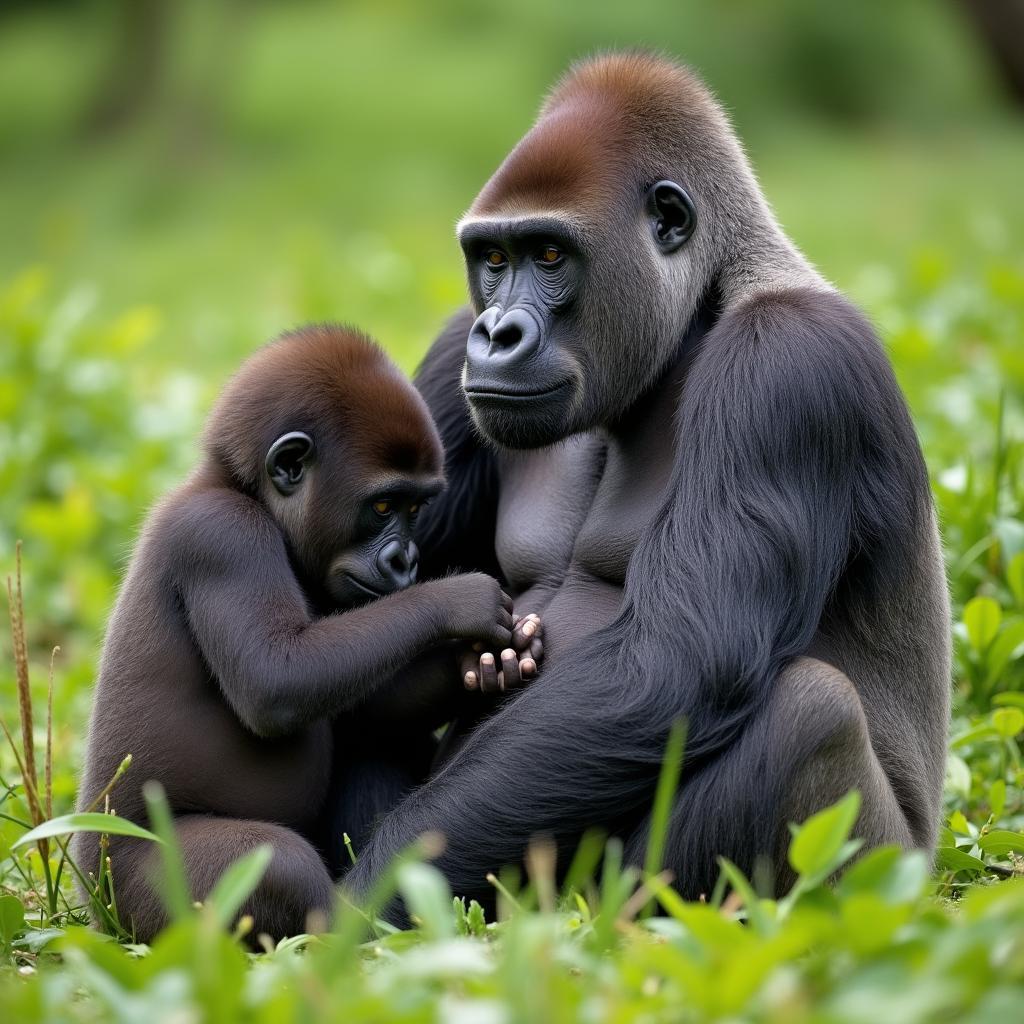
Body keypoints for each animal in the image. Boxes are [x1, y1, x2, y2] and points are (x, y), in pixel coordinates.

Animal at [75, 323, 516, 937]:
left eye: (416, 508)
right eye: (384, 507)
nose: (406, 561)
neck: (241, 490)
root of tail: (91, 900)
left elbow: (357, 710)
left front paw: (478, 667)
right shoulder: (225, 536)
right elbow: (276, 680)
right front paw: (459, 601)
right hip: (126, 886)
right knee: (278, 864)